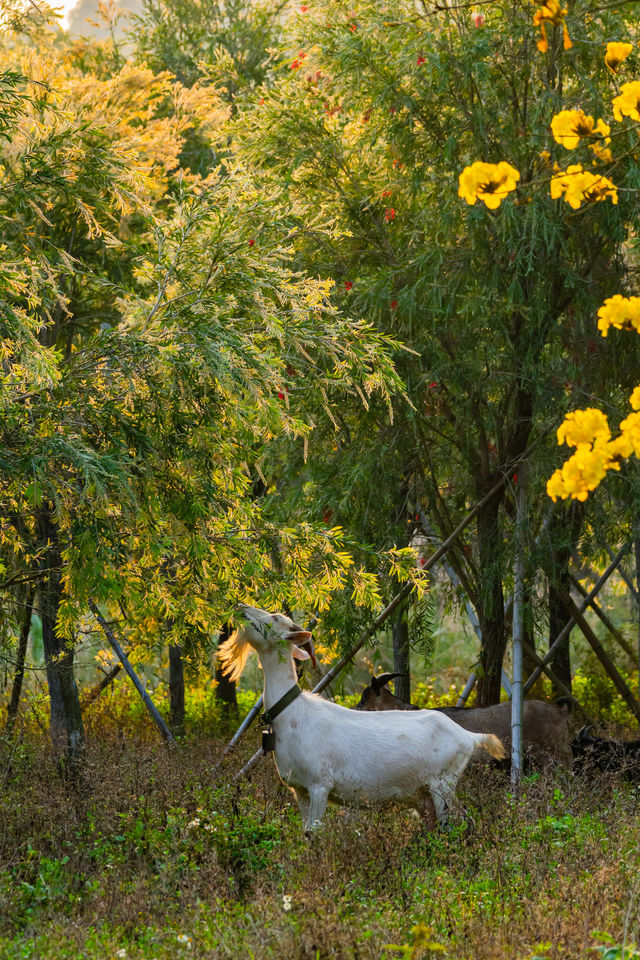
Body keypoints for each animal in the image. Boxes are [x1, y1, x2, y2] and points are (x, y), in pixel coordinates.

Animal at [220, 608, 504, 832]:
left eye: (275, 618)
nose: (241, 606)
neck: (292, 714)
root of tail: (469, 737)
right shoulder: (299, 789)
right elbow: (305, 833)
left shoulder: (320, 785)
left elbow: (314, 833)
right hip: (424, 795)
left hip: (442, 783)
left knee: (457, 824)